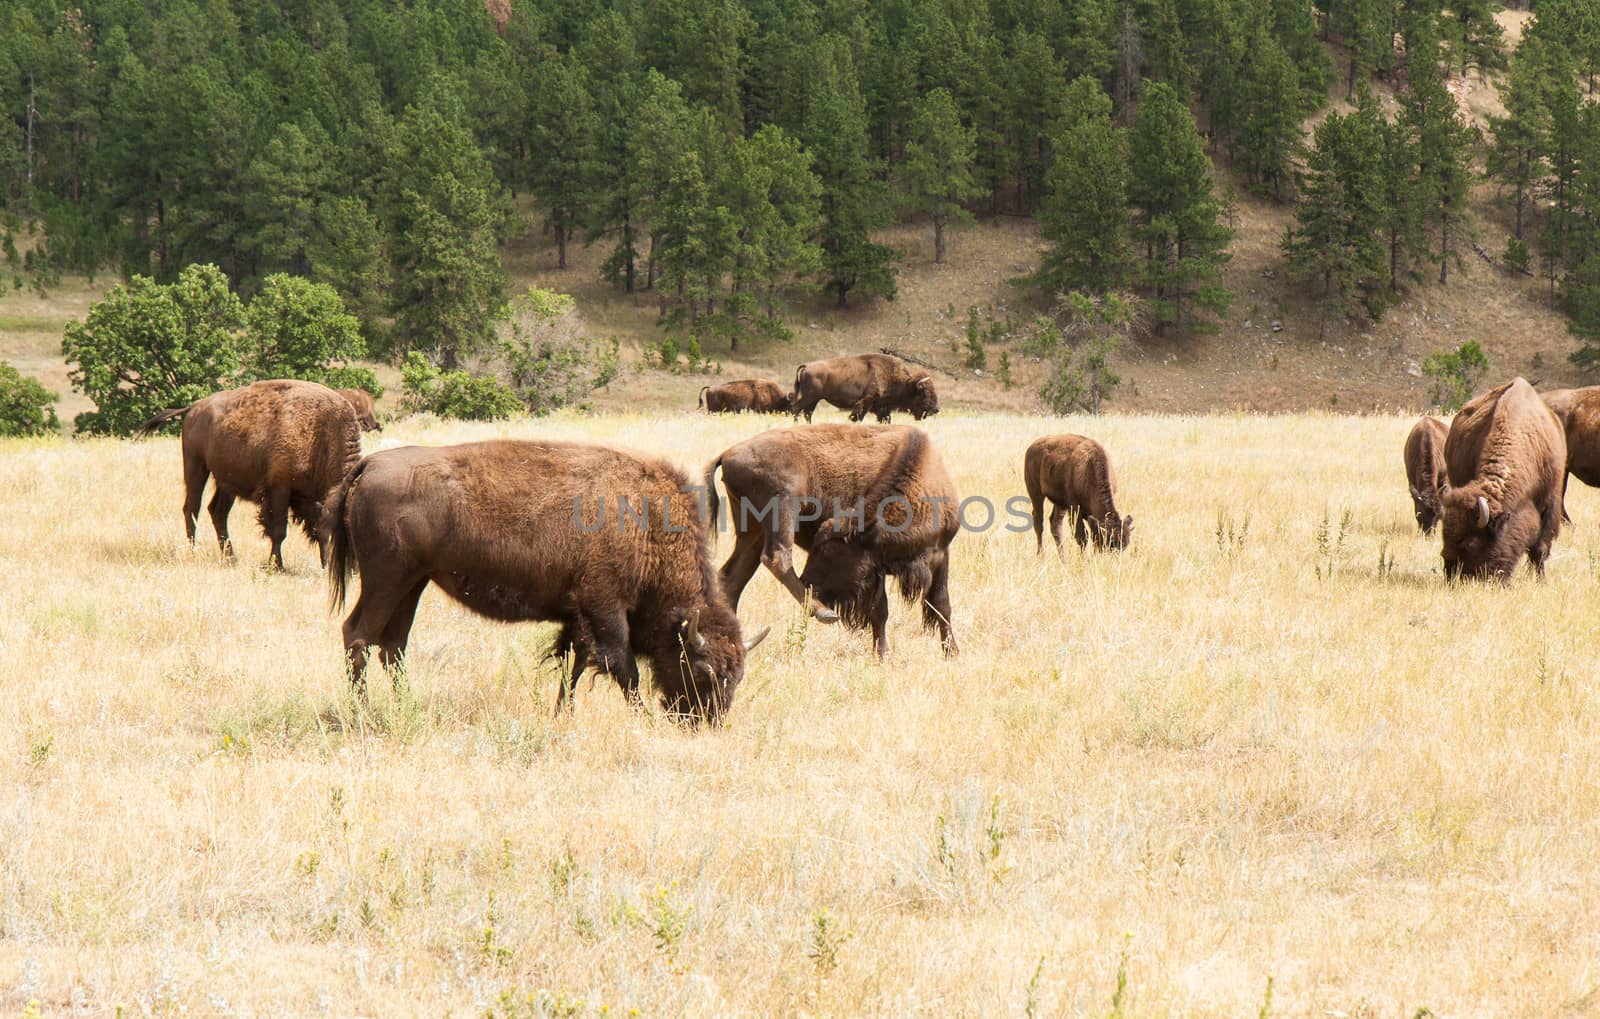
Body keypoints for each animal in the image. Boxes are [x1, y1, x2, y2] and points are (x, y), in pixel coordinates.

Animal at [135, 379, 363, 572]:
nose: (353, 569)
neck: (322, 434)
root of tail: (194, 407)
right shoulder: (279, 489)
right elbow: (279, 530)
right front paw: (277, 565)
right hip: (196, 465)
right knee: (192, 508)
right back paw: (194, 551)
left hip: (226, 481)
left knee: (217, 511)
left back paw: (230, 557)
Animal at [707, 422, 953, 655]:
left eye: (831, 554)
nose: (810, 583)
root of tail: (727, 454)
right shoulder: (876, 568)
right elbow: (880, 611)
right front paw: (883, 654)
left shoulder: (940, 554)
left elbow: (942, 605)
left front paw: (951, 652)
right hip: (785, 505)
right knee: (776, 557)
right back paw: (823, 612)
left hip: (752, 530)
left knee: (733, 577)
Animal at [787, 353, 934, 422]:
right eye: (925, 393)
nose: (936, 409)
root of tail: (807, 366)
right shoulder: (866, 401)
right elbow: (857, 417)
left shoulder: (881, 408)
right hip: (809, 397)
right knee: (796, 408)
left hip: (814, 399)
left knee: (807, 413)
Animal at [1440, 375, 1561, 579]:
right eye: (1444, 536)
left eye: (1469, 543)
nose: (1450, 575)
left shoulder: (1551, 501)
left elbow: (1540, 549)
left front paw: (1540, 580)